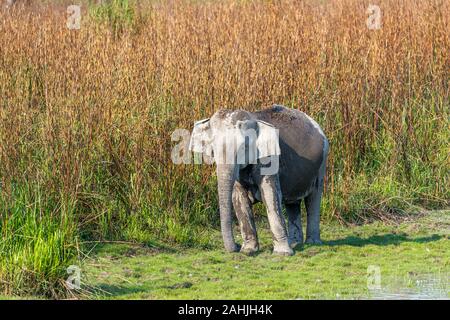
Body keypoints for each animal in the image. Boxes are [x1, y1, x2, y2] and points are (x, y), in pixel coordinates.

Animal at [188, 104, 328, 255]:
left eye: (243, 148)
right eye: (213, 150)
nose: (237, 245)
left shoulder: (269, 158)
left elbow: (271, 197)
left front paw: (282, 253)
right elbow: (239, 199)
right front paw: (248, 250)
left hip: (322, 163)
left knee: (313, 199)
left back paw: (312, 243)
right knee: (293, 204)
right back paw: (295, 243)